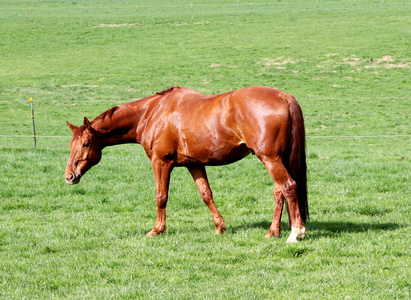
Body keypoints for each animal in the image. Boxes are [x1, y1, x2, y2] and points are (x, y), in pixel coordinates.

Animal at [64, 85, 308, 243]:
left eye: (85, 143)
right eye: (71, 143)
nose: (69, 176)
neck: (152, 113)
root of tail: (283, 96)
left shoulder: (161, 162)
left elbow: (161, 197)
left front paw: (157, 230)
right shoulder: (195, 164)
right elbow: (206, 194)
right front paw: (220, 227)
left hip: (270, 159)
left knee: (288, 187)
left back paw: (296, 233)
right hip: (275, 158)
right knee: (279, 192)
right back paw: (272, 232)